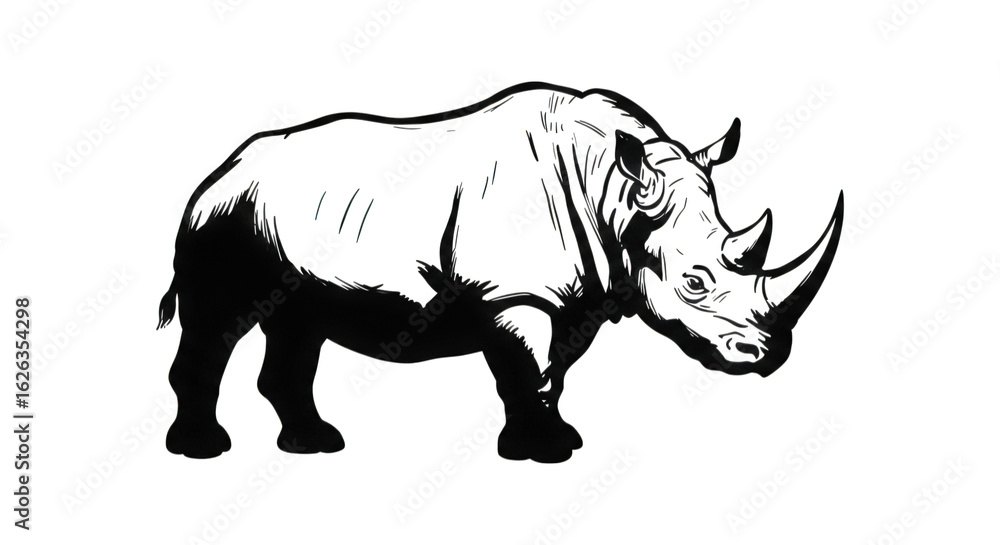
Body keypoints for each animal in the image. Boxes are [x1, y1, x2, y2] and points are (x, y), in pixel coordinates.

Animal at [159, 82, 843, 462]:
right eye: (695, 282)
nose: (768, 355)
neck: (618, 195)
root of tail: (219, 169)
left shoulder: (580, 297)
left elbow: (554, 374)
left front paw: (558, 439)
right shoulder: (517, 295)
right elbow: (527, 372)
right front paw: (545, 455)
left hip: (279, 220)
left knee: (299, 322)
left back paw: (317, 445)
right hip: (225, 219)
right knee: (216, 322)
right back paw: (202, 450)